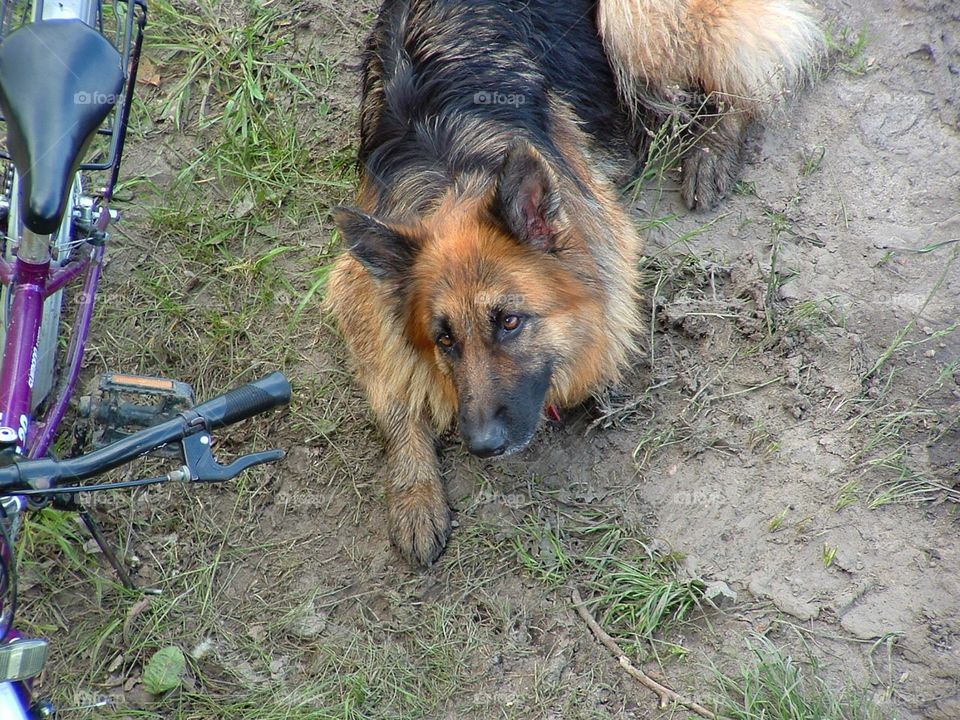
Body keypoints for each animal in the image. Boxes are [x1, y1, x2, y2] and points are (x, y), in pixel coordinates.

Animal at [326, 0, 820, 564]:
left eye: (510, 322)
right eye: (444, 340)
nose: (482, 445)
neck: (453, 165)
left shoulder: (606, 244)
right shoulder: (357, 289)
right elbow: (393, 393)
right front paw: (414, 491)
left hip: (631, 19)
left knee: (744, 75)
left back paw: (712, 151)